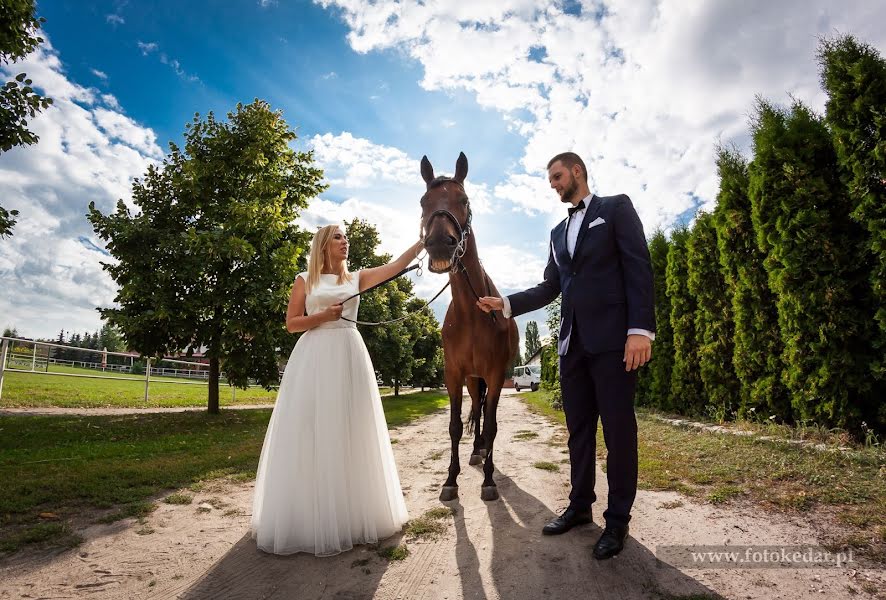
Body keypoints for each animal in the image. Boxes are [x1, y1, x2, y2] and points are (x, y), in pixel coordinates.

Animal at [422, 151, 524, 502]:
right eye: (423, 201)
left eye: (464, 200)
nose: (441, 244)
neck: (471, 314)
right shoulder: (454, 374)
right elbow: (454, 426)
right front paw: (450, 480)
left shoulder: (494, 375)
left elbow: (492, 425)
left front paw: (489, 481)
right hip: (471, 378)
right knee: (476, 412)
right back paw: (475, 450)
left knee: (482, 413)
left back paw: (481, 451)